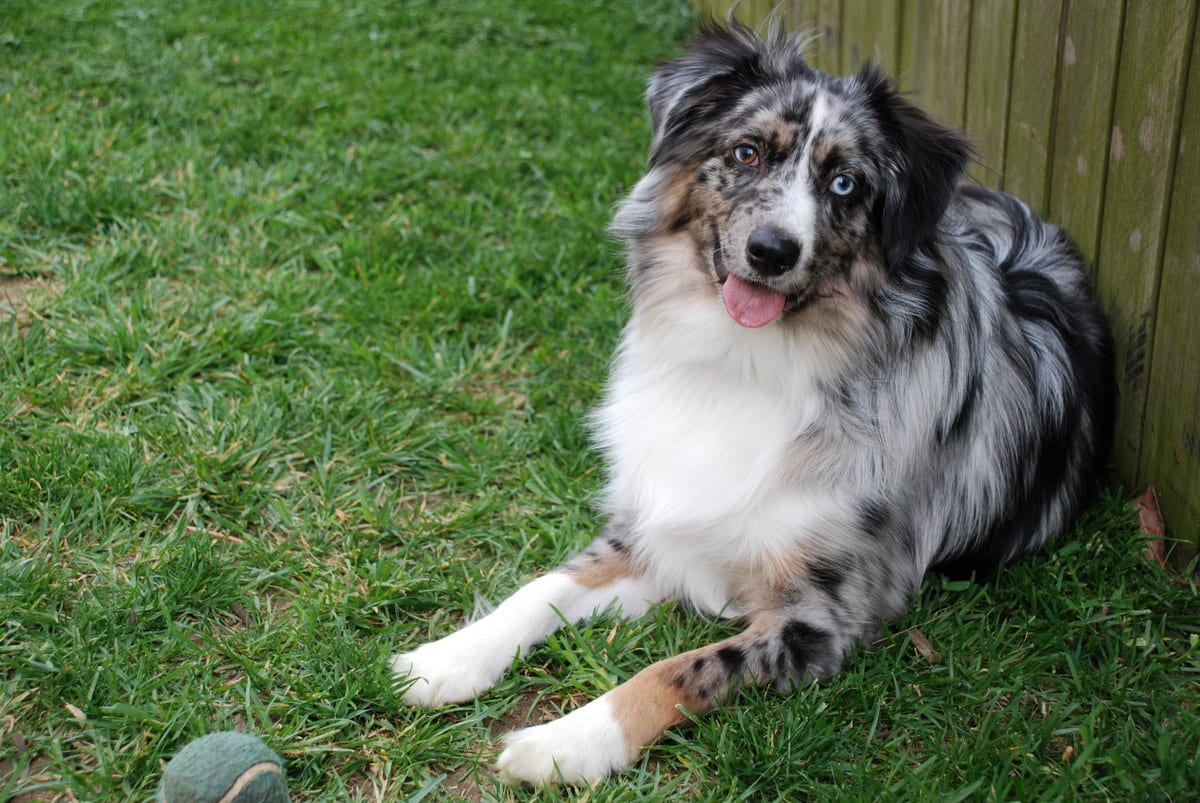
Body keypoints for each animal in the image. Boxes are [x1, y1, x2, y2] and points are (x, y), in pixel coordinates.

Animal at [391, 23, 1113, 782]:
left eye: (845, 183)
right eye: (746, 152)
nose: (772, 250)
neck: (744, 362)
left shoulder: (821, 617)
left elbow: (678, 668)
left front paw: (567, 742)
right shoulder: (659, 530)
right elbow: (542, 587)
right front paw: (448, 658)